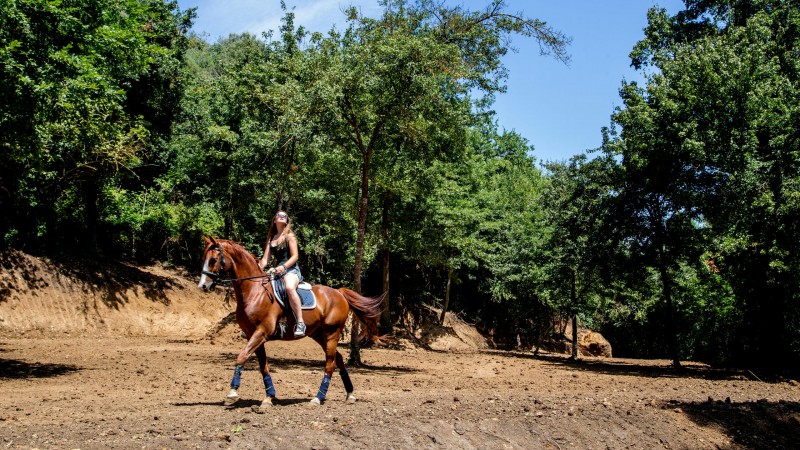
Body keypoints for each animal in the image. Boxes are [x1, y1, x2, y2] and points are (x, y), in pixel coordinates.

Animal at [198, 237, 384, 406]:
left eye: (213, 260)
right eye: (204, 258)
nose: (203, 286)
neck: (254, 292)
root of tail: (339, 293)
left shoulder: (261, 332)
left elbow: (242, 356)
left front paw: (233, 392)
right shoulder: (254, 335)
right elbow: (263, 366)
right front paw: (269, 397)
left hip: (332, 332)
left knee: (330, 364)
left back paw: (318, 398)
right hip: (318, 334)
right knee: (337, 358)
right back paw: (349, 394)